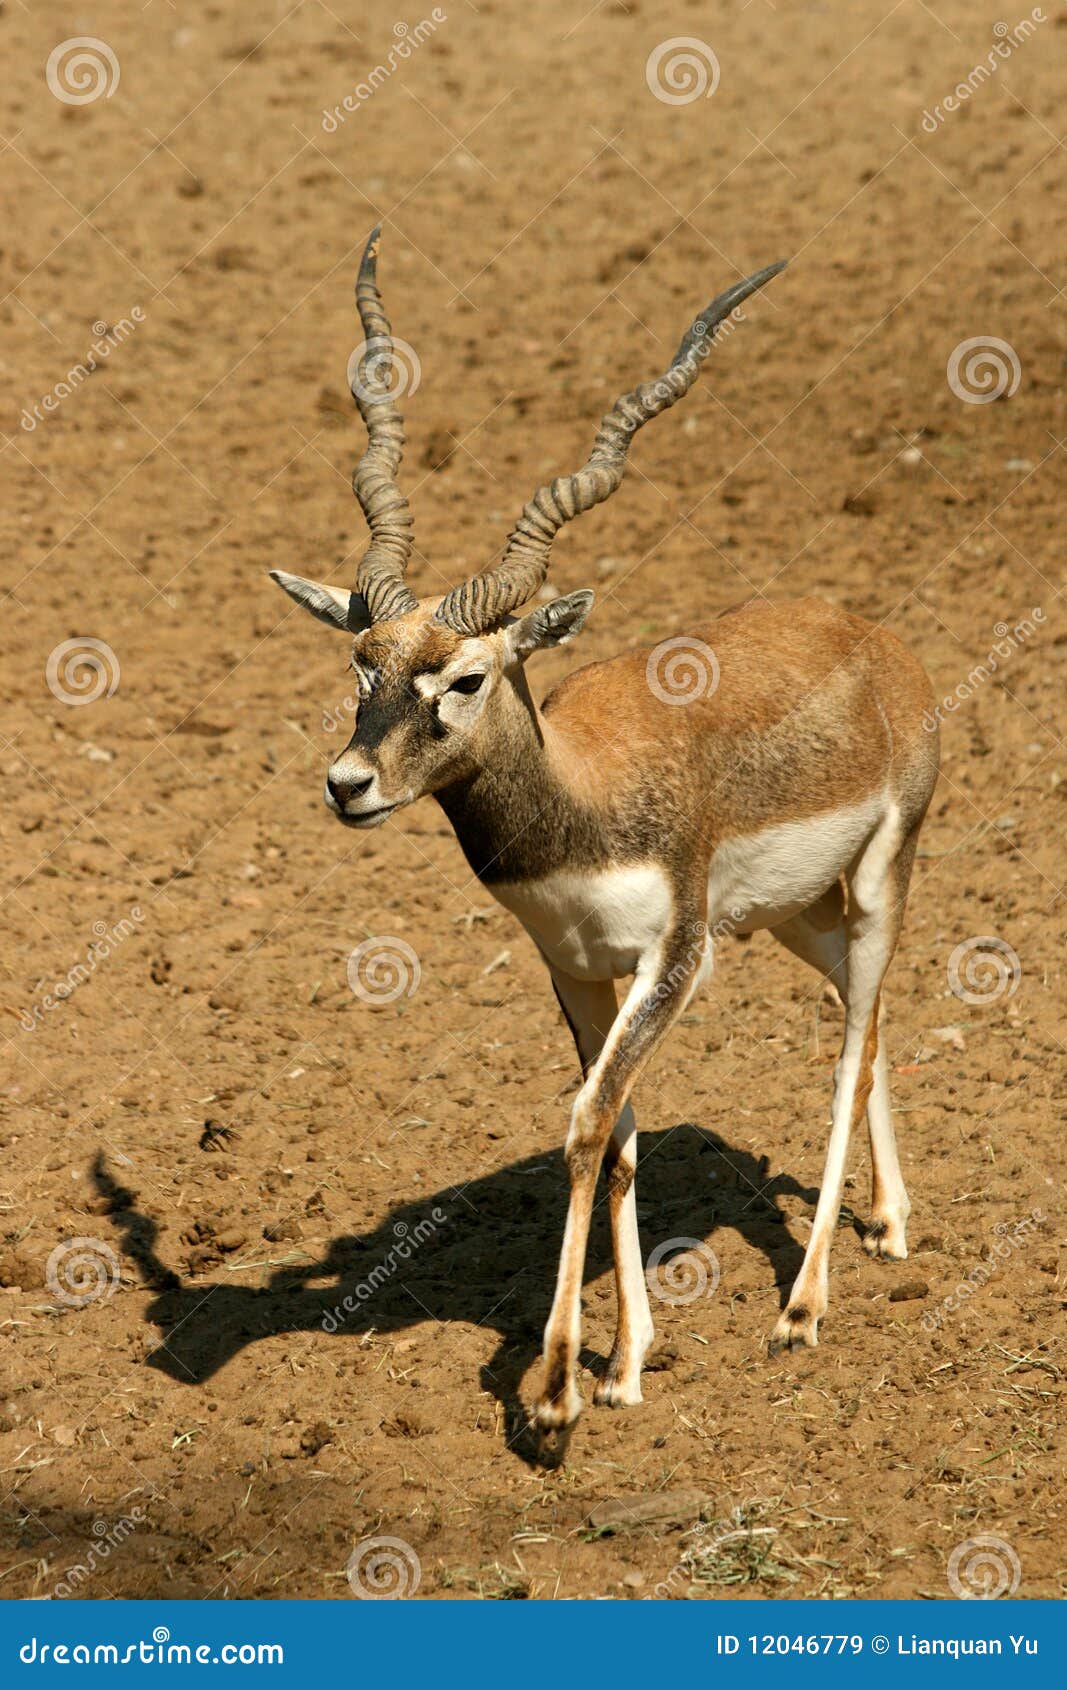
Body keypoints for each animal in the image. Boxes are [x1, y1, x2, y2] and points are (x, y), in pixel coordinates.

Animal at [271, 228, 940, 1442]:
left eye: (466, 677)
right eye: (361, 662)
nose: (348, 784)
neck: (576, 813)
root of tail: (872, 640)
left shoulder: (674, 962)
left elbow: (584, 1128)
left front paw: (552, 1390)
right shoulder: (579, 971)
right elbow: (618, 1138)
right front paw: (626, 1362)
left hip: (874, 882)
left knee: (848, 1047)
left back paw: (804, 1306)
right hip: (788, 919)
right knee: (862, 1026)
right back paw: (890, 1224)